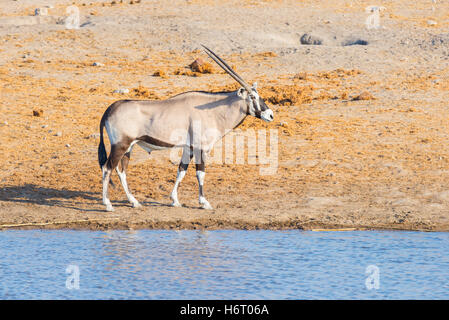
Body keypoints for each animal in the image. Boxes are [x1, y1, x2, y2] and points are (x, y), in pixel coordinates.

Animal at [98, 44, 272, 210]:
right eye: (252, 97)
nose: (270, 115)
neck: (213, 111)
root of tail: (110, 109)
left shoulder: (189, 148)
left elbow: (181, 171)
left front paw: (175, 200)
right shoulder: (201, 148)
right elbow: (200, 173)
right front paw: (204, 203)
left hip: (129, 147)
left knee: (121, 170)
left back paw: (134, 202)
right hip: (120, 145)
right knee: (107, 168)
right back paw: (108, 204)